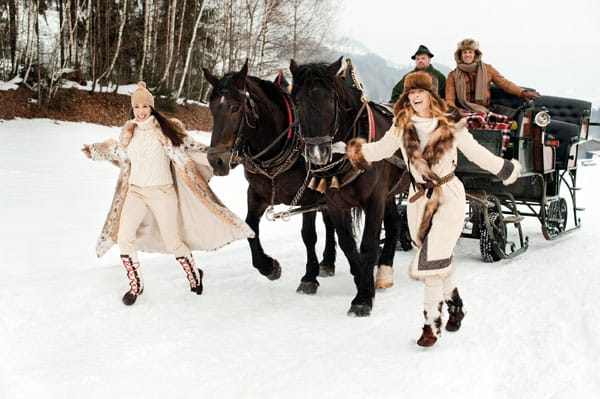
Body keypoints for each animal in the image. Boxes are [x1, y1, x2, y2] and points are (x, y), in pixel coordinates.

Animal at [200, 61, 336, 294]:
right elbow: (251, 227)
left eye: (236, 108)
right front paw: (267, 266)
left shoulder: (309, 197)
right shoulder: (257, 194)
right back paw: (328, 262)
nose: (216, 161)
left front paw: (309, 276)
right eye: (212, 108)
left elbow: (308, 235)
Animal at [290, 57, 410, 318]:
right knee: (395, 224)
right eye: (297, 101)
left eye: (330, 99)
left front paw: (363, 298)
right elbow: (348, 244)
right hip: (389, 194)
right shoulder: (336, 204)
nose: (318, 153)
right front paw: (363, 282)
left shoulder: (374, 199)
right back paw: (383, 272)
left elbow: (368, 245)